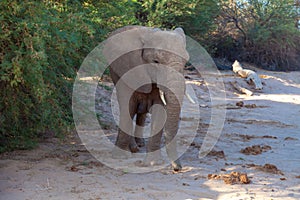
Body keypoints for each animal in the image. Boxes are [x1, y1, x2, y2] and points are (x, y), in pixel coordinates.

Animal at [103, 25, 190, 172]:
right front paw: (119, 157)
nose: (177, 168)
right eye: (156, 61)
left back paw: (139, 145)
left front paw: (153, 163)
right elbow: (127, 106)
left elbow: (160, 111)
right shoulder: (127, 71)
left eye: (185, 63)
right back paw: (133, 148)